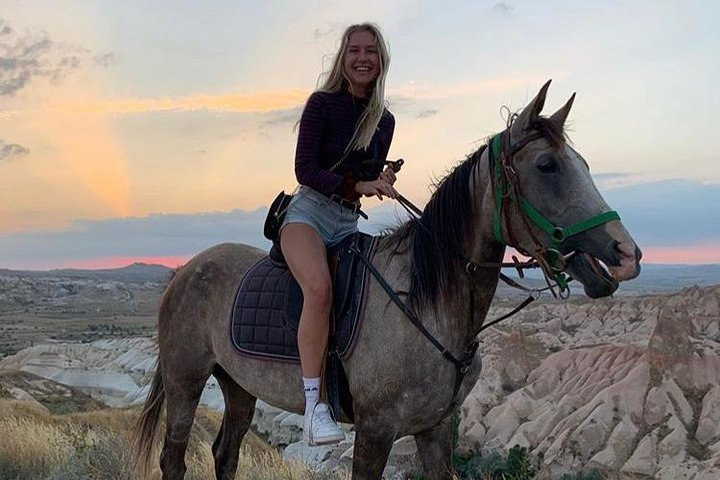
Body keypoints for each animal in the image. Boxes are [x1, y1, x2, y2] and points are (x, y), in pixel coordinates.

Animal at [131, 80, 640, 478]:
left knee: (225, 454)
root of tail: (183, 273)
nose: (626, 255)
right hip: (185, 381)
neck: (423, 302)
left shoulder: (435, 430)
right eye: (546, 166)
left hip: (238, 386)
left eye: (585, 164)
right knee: (174, 459)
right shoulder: (375, 433)